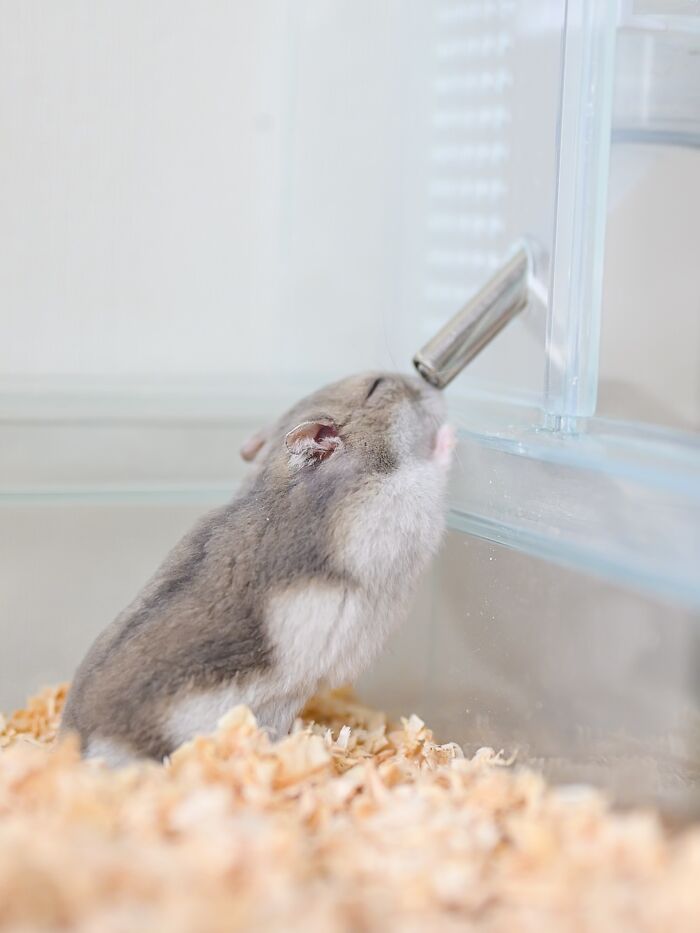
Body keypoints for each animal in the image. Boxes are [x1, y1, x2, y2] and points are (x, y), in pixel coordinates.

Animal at [61, 372, 455, 765]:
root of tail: (74, 748)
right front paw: (450, 435)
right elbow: (428, 477)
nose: (430, 383)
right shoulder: (390, 508)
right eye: (376, 386)